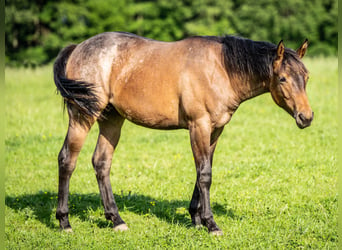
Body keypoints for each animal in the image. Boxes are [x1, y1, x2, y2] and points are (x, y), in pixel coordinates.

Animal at [52, 32, 312, 235]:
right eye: (282, 78)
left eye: (306, 77)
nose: (306, 117)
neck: (220, 70)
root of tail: (77, 48)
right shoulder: (199, 126)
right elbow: (205, 174)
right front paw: (211, 224)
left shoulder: (215, 130)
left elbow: (203, 171)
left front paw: (196, 219)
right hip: (82, 117)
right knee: (67, 160)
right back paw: (64, 222)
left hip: (112, 119)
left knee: (101, 162)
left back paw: (116, 220)